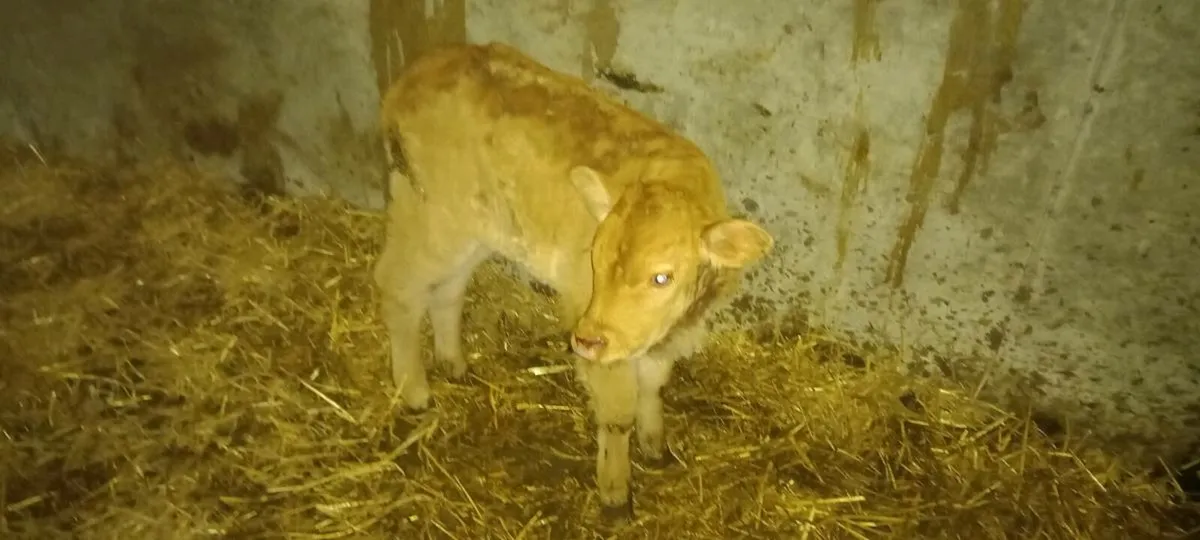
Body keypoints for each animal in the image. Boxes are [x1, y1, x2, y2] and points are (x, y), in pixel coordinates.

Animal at [373, 41, 774, 521]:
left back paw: (453, 363)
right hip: (430, 215)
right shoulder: (597, 328)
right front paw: (616, 493)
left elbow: (654, 383)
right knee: (399, 285)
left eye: (662, 276)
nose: (586, 341)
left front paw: (655, 445)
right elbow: (617, 413)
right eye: (594, 259)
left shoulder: (662, 338)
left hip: (473, 229)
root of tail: (415, 74)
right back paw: (414, 391)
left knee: (448, 290)